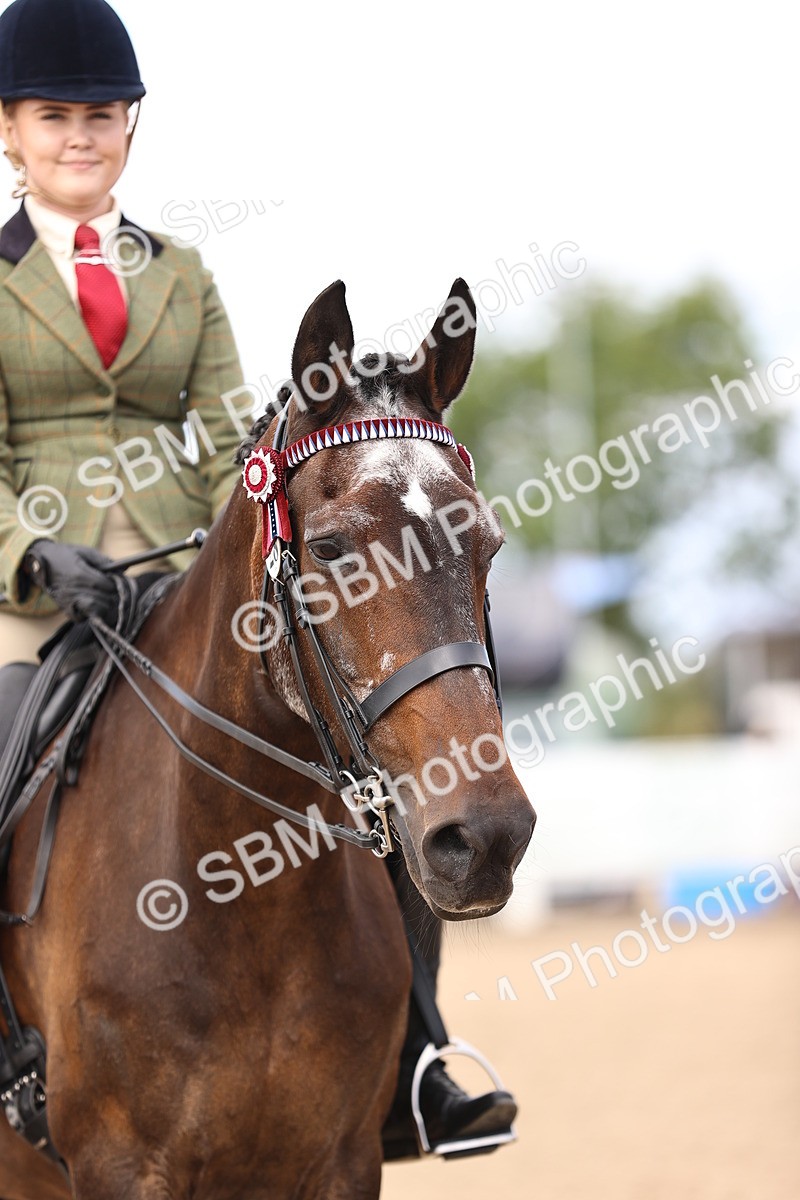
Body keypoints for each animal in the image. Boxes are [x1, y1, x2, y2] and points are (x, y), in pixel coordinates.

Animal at [0, 277, 536, 1199]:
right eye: (330, 547)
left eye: (488, 547)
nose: (489, 835)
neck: (239, 896)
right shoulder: (117, 1167)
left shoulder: (342, 1164)